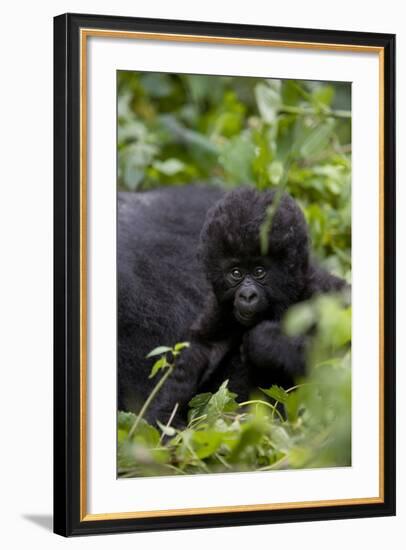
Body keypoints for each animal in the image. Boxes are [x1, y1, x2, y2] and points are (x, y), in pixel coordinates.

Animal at [146, 190, 346, 426]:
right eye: (236, 273)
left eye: (259, 271)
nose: (247, 295)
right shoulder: (218, 307)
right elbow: (201, 348)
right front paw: (164, 416)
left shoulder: (323, 291)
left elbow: (337, 355)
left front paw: (266, 341)